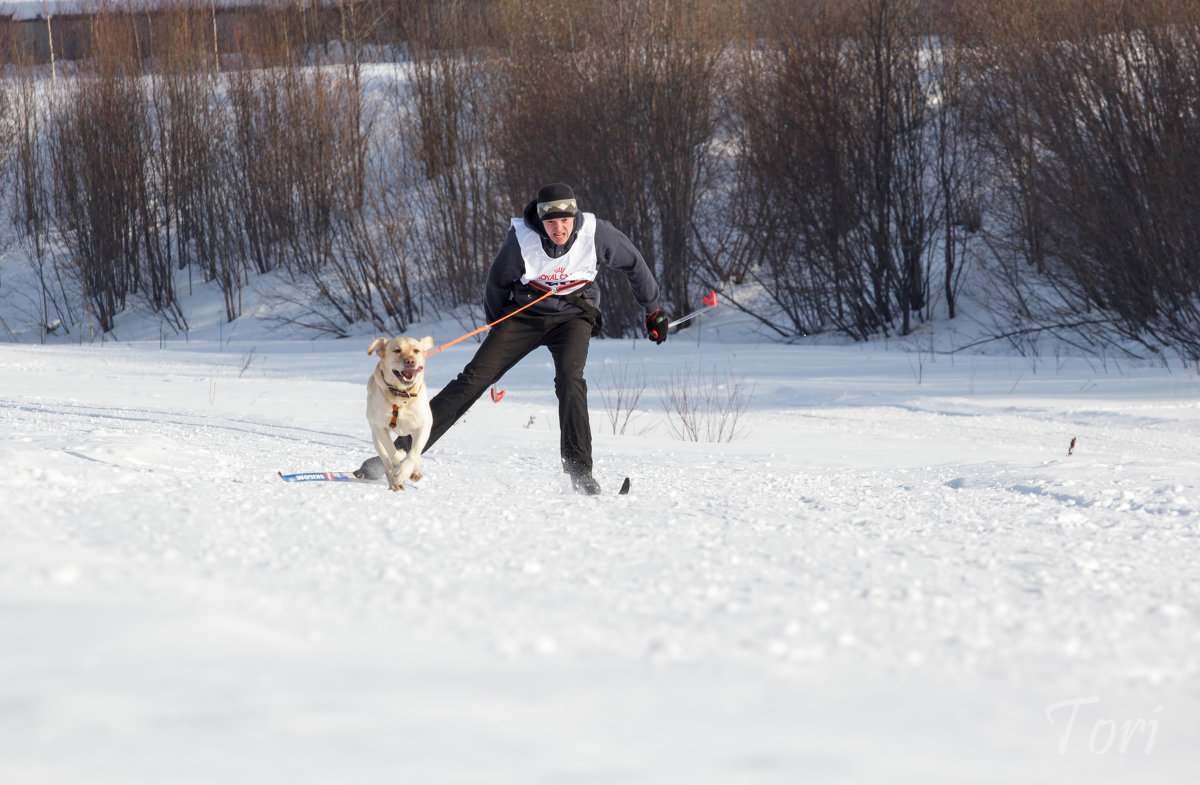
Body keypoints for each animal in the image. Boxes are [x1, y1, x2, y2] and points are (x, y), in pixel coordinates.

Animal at [369, 336, 441, 492]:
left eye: (416, 350)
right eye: (397, 350)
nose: (410, 361)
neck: (401, 395)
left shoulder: (424, 426)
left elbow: (415, 451)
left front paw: (406, 470)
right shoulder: (380, 427)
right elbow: (392, 452)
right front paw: (400, 462)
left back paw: (414, 471)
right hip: (376, 438)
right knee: (386, 461)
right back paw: (395, 483)